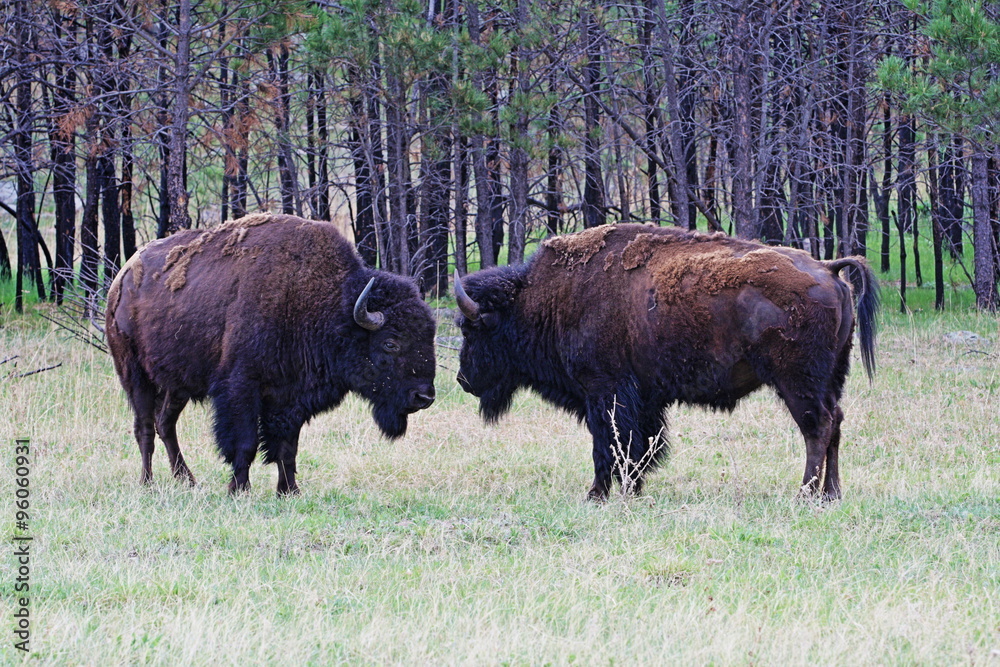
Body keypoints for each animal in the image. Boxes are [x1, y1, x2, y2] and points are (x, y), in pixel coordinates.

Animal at [106, 214, 438, 496]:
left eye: (429, 336)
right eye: (391, 343)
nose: (424, 397)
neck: (327, 304)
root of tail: (122, 278)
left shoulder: (290, 398)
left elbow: (286, 447)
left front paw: (289, 491)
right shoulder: (241, 388)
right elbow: (246, 443)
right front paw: (239, 490)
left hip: (178, 384)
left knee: (165, 424)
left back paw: (186, 480)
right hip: (135, 375)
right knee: (145, 428)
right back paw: (147, 483)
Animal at [454, 224, 876, 500]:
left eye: (472, 330)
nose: (462, 379)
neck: (546, 299)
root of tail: (829, 270)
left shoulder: (603, 392)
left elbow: (609, 442)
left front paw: (599, 493)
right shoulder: (643, 399)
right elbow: (640, 444)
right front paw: (633, 488)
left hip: (797, 382)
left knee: (817, 426)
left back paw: (805, 494)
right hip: (831, 378)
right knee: (835, 422)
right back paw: (831, 494)